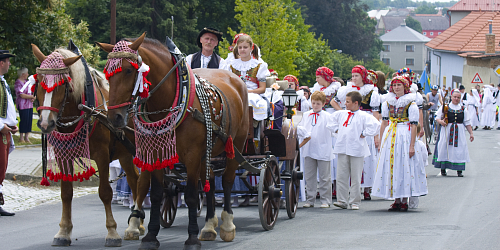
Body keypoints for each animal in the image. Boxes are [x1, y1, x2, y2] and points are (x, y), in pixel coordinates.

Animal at [31, 44, 144, 246]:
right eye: (40, 83)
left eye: (62, 84)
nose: (45, 123)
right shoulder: (63, 155)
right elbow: (66, 192)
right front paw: (63, 231)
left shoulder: (101, 155)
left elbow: (105, 192)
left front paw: (112, 232)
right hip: (124, 152)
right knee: (134, 180)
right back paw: (136, 225)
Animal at [95, 33, 248, 250]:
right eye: (107, 73)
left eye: (128, 70)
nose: (114, 117)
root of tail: (236, 80)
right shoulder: (157, 153)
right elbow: (157, 193)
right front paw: (151, 236)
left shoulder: (192, 156)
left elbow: (191, 194)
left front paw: (191, 238)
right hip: (207, 151)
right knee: (209, 181)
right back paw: (209, 226)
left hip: (236, 145)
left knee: (226, 180)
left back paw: (227, 225)